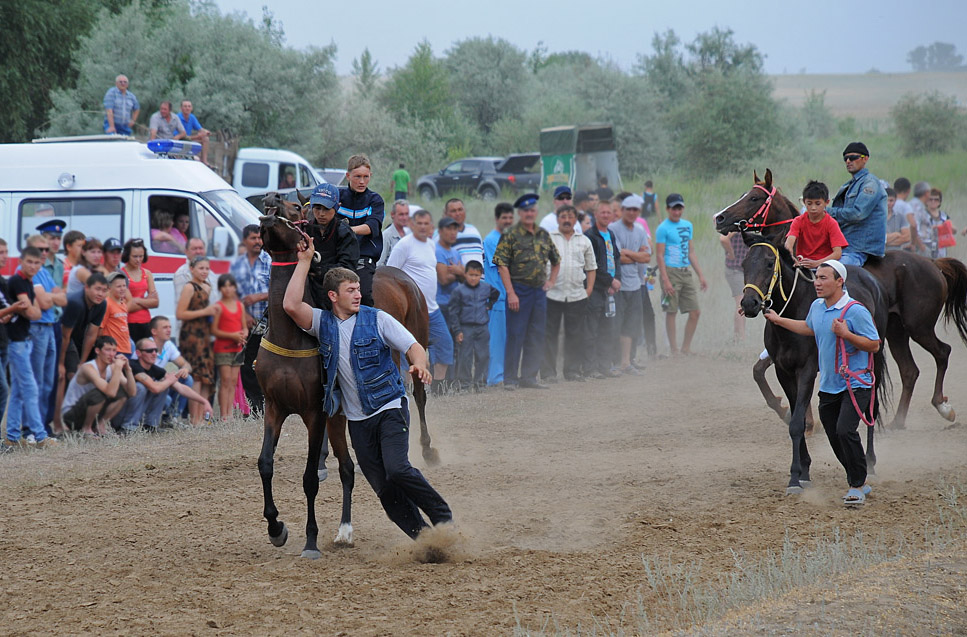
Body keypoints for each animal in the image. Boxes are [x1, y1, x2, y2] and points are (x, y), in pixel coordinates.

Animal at [712, 168, 967, 428]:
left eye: (754, 198)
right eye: (743, 195)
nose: (720, 218)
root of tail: (933, 263)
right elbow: (758, 371)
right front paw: (789, 412)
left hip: (919, 327)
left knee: (942, 352)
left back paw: (943, 407)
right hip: (897, 331)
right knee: (909, 370)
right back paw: (898, 421)